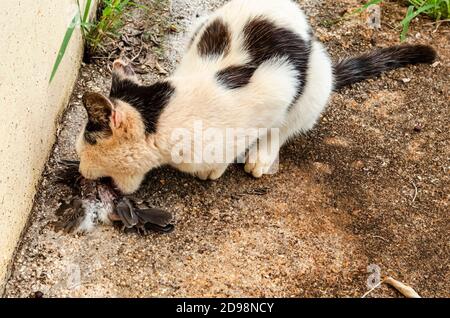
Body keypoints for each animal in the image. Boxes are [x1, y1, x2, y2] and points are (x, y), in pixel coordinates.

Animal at [76, 0, 436, 194]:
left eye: (83, 149)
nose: (79, 169)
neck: (167, 113)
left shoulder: (277, 84)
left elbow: (267, 125)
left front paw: (221, 165)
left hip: (317, 75)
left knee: (290, 122)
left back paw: (262, 155)